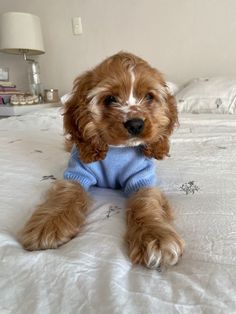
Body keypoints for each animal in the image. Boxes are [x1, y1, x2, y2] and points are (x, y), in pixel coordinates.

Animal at [20, 52, 183, 270]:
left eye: (149, 97)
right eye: (110, 99)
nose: (135, 124)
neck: (117, 149)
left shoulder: (141, 179)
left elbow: (147, 203)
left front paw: (155, 236)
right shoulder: (77, 173)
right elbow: (66, 194)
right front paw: (48, 224)